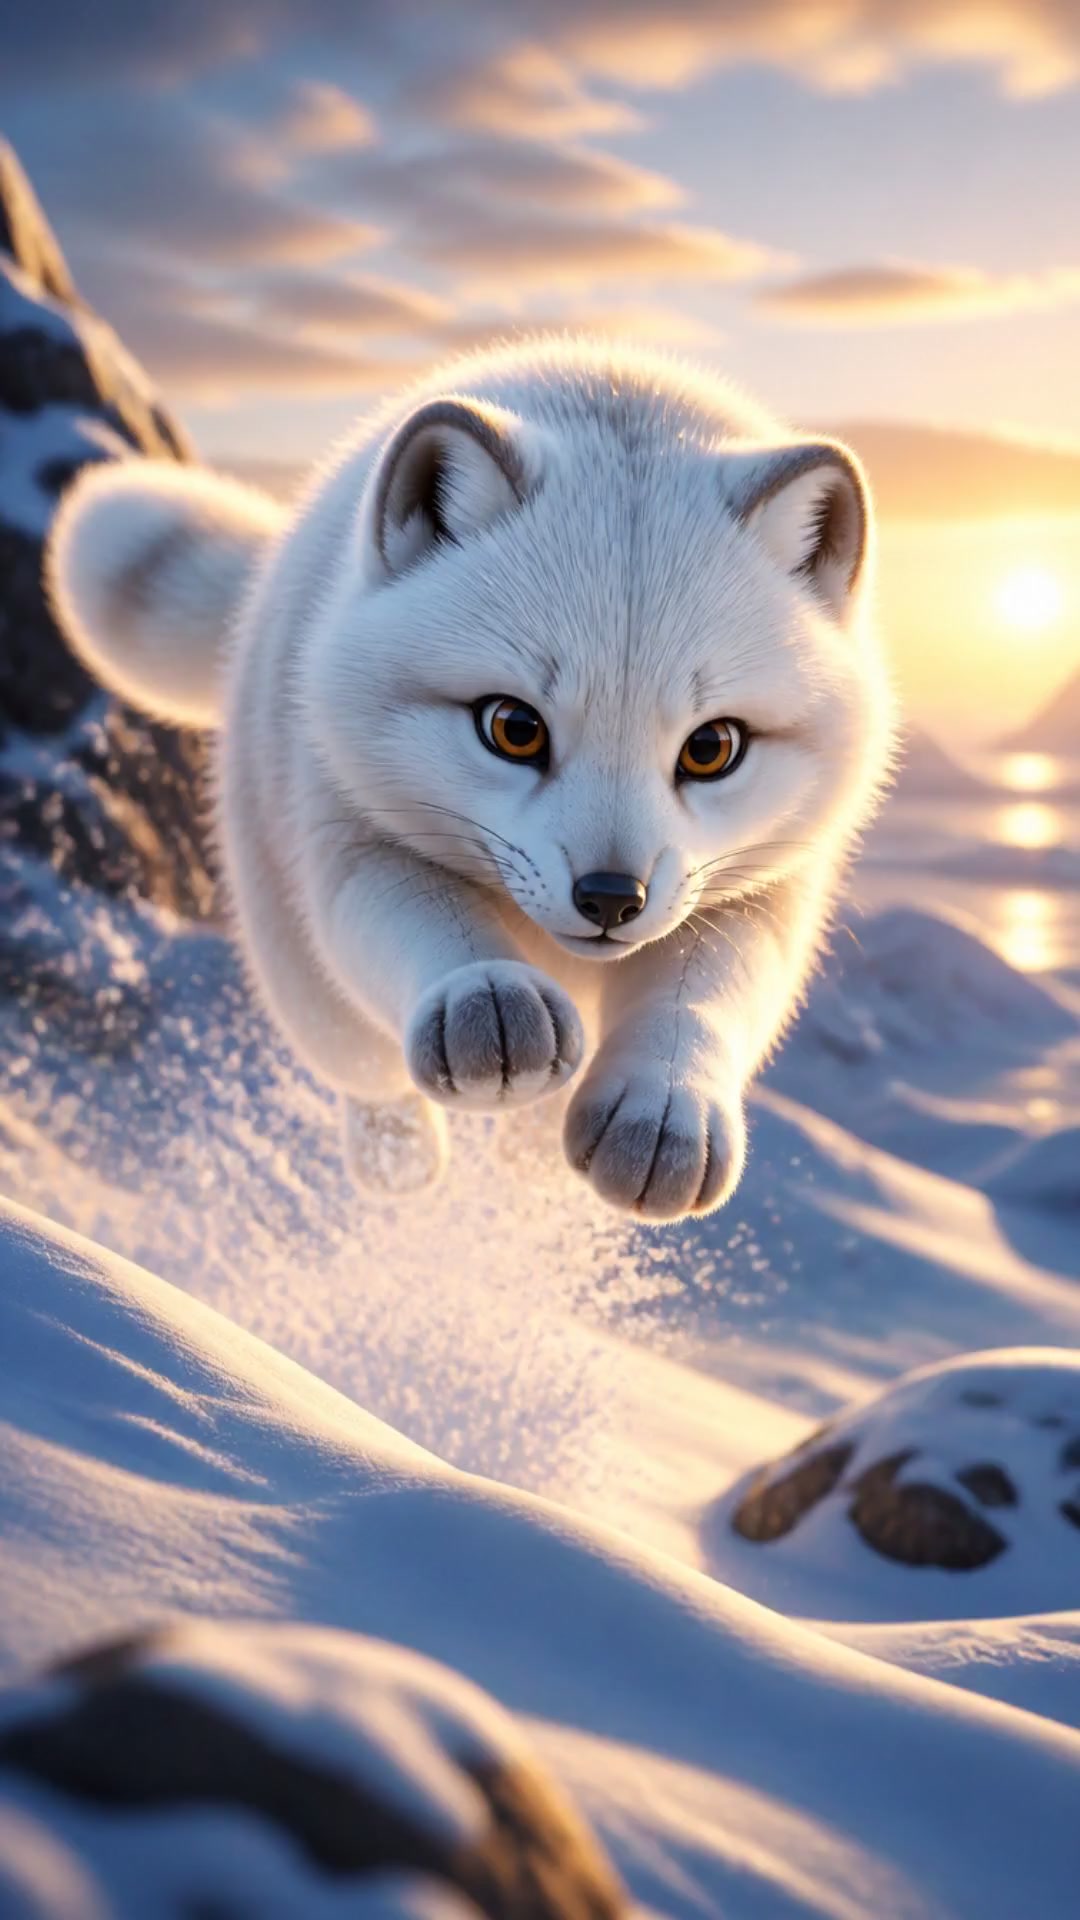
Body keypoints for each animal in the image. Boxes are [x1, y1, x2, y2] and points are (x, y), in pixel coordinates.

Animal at [48, 337, 895, 1220]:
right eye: (514, 728)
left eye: (712, 748)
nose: (609, 899)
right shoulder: (352, 832)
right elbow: (430, 927)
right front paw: (489, 1005)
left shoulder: (762, 891)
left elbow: (704, 999)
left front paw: (662, 1119)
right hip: (300, 964)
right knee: (366, 1071)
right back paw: (397, 1156)